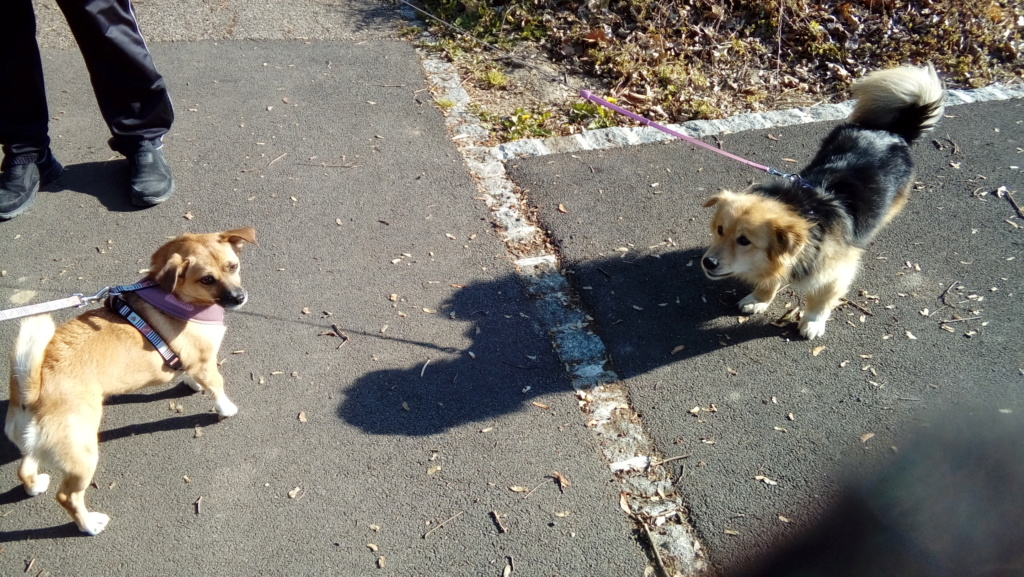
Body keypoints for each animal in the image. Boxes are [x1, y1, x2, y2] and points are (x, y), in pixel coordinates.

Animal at [4, 228, 256, 537]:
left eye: (233, 267)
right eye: (207, 279)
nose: (239, 297)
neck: (176, 299)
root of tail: (30, 394)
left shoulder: (194, 363)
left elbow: (193, 377)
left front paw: (192, 384)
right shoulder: (206, 364)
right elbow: (217, 387)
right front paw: (226, 408)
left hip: (34, 446)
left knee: (24, 469)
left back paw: (35, 485)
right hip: (83, 457)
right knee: (68, 497)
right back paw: (89, 525)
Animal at [704, 66, 942, 340]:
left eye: (744, 241)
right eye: (720, 230)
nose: (707, 262)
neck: (805, 211)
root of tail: (890, 131)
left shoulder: (837, 273)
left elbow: (821, 299)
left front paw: (813, 322)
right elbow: (770, 279)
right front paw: (760, 298)